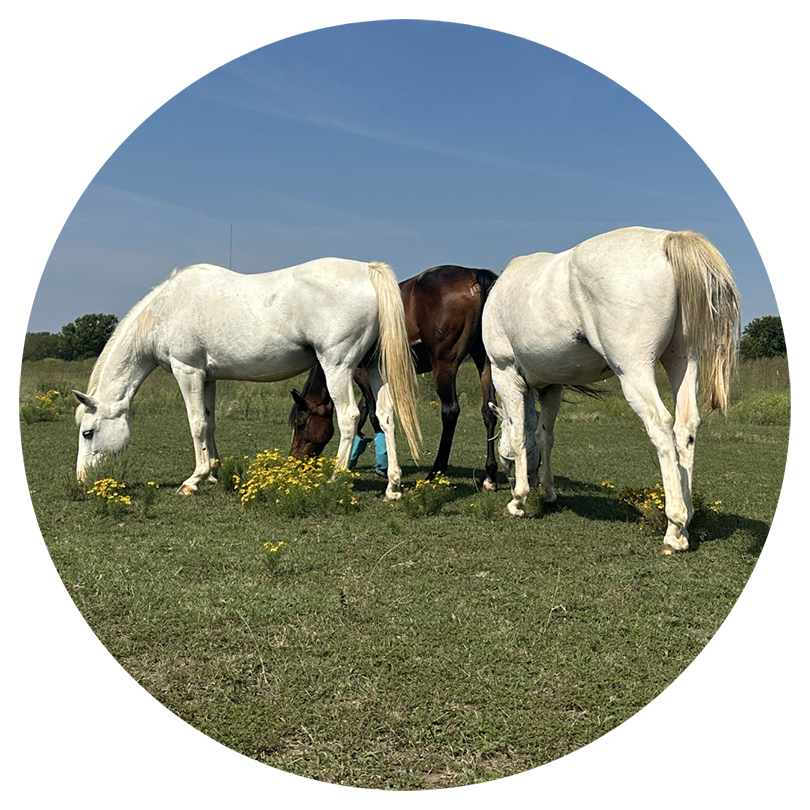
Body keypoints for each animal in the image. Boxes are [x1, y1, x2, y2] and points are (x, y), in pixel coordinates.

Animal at [72, 259, 422, 500]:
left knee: (349, 417)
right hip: (373, 367)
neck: (166, 310)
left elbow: (196, 424)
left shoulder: (188, 372)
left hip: (338, 366)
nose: (81, 479)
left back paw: (336, 478)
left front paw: (193, 480)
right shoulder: (207, 378)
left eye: (88, 432)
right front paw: (212, 473)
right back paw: (392, 486)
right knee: (385, 416)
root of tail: (367, 270)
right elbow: (210, 423)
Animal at [288, 265, 500, 489]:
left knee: (450, 411)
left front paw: (381, 465)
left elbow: (372, 416)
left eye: (300, 424)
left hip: (444, 364)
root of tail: (475, 273)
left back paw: (435, 472)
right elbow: (364, 414)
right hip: (485, 360)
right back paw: (490, 476)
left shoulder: (362, 375)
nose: (295, 460)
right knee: (488, 410)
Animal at [482, 227, 740, 553]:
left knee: (661, 426)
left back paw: (674, 527)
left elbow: (519, 437)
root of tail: (667, 239)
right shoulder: (551, 386)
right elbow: (543, 437)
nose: (506, 479)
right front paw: (548, 492)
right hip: (683, 361)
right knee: (685, 428)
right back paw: (687, 517)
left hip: (634, 370)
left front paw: (518, 500)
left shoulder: (505, 374)